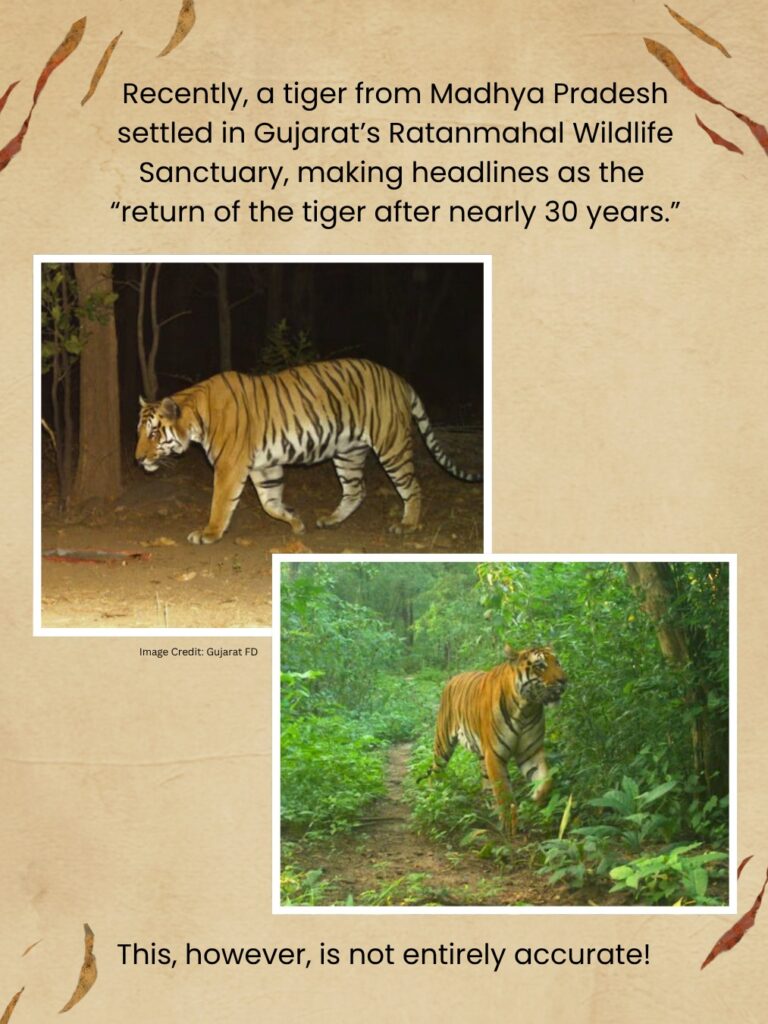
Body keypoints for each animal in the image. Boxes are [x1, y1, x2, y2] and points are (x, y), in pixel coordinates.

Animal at [134, 358, 481, 544]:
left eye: (153, 432)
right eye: (139, 431)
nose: (138, 459)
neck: (196, 416)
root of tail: (398, 378)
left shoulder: (230, 466)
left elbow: (221, 503)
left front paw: (208, 533)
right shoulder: (264, 466)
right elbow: (270, 502)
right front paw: (295, 521)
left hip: (391, 443)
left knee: (412, 486)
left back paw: (407, 525)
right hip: (348, 452)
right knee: (356, 490)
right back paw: (330, 520)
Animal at [429, 645, 568, 838]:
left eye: (557, 662)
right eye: (540, 665)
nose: (564, 680)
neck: (526, 708)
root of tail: (453, 679)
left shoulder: (530, 753)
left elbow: (546, 781)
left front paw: (536, 799)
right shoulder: (495, 754)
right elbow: (504, 792)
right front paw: (510, 826)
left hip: (481, 754)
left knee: (486, 783)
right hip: (443, 743)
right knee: (435, 770)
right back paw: (433, 796)